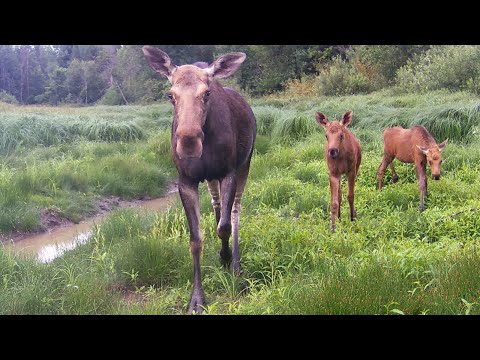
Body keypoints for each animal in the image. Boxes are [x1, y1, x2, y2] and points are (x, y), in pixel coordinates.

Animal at [142, 46, 256, 314]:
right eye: (170, 95)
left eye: (207, 93)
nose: (188, 142)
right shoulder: (186, 181)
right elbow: (195, 239)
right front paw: (197, 299)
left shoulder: (228, 172)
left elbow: (224, 226)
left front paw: (227, 259)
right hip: (211, 178)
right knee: (217, 205)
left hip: (245, 163)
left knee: (235, 211)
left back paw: (235, 262)